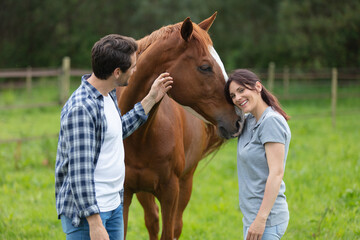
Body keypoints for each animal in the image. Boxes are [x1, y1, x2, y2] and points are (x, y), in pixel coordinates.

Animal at [116, 13, 243, 240]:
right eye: (205, 67)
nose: (237, 120)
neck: (139, 137)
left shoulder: (170, 193)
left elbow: (169, 232)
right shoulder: (124, 193)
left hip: (185, 184)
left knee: (175, 225)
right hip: (144, 192)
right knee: (152, 220)